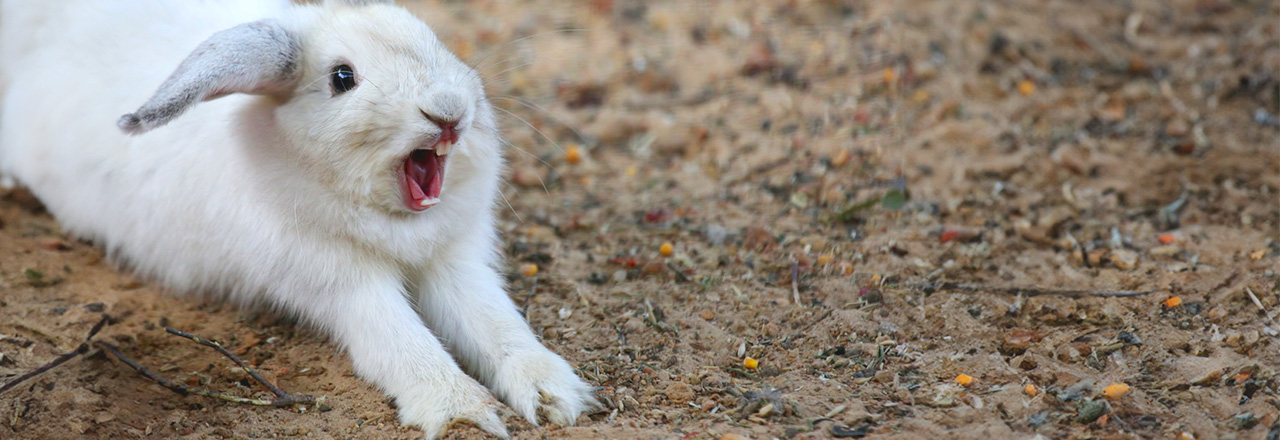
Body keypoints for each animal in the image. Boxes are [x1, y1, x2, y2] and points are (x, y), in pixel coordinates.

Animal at [0, 0, 596, 437]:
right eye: (342, 77)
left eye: (434, 40)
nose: (449, 111)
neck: (394, 219)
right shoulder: (344, 285)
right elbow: (401, 342)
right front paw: (462, 413)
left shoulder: (456, 264)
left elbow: (496, 322)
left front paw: (554, 395)